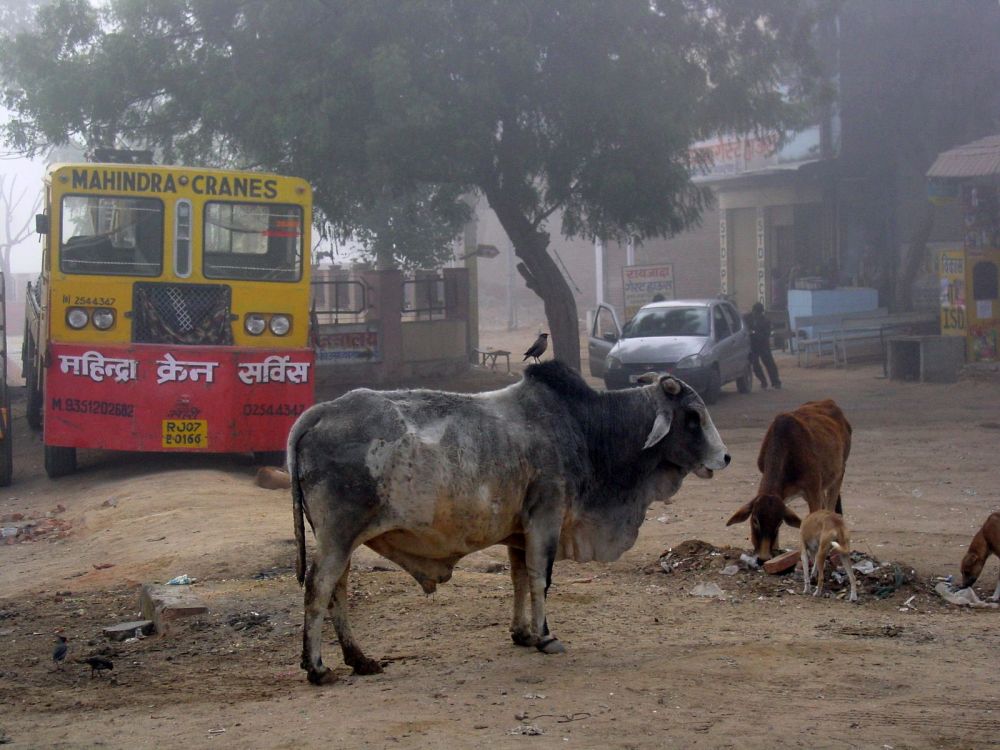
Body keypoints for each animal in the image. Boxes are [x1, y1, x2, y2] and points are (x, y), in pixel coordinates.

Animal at [288, 362, 728, 684]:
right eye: (693, 416)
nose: (725, 458)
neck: (586, 427)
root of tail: (319, 412)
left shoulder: (520, 531)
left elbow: (518, 578)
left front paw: (523, 634)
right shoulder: (547, 517)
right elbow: (540, 578)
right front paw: (546, 636)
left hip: (341, 540)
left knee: (338, 591)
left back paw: (359, 660)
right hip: (338, 536)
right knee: (319, 587)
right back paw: (318, 667)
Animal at [728, 400, 852, 564]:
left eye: (779, 523)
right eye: (754, 520)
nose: (763, 557)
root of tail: (829, 401)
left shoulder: (813, 488)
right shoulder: (784, 492)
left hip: (839, 472)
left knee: (830, 506)